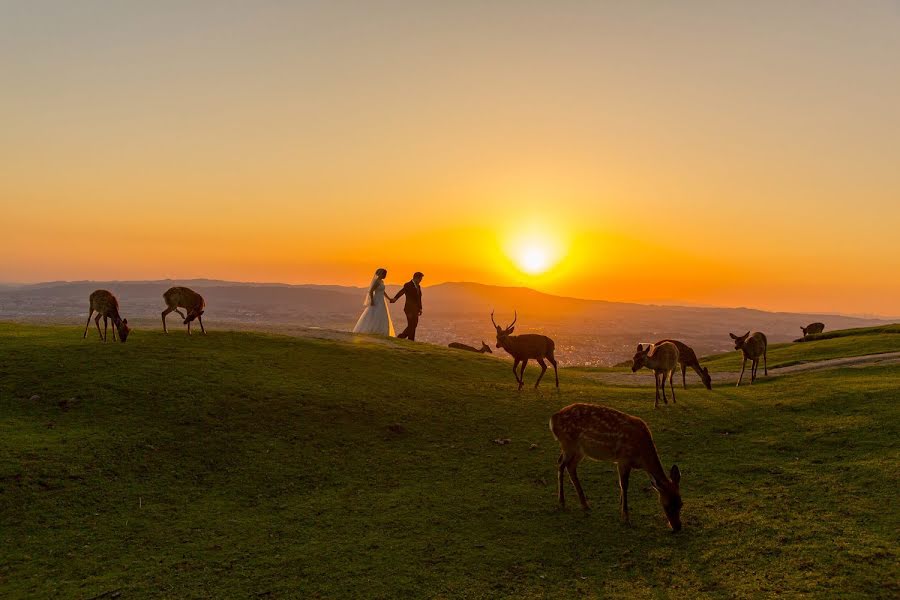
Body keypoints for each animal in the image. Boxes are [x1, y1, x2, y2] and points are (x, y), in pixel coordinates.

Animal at [548, 404, 684, 528]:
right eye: (667, 505)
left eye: (681, 503)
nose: (677, 527)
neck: (641, 456)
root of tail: (553, 419)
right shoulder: (623, 459)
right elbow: (624, 485)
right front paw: (626, 517)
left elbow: (621, 485)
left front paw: (620, 507)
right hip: (568, 444)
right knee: (561, 464)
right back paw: (562, 502)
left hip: (580, 450)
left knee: (570, 466)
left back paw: (584, 504)